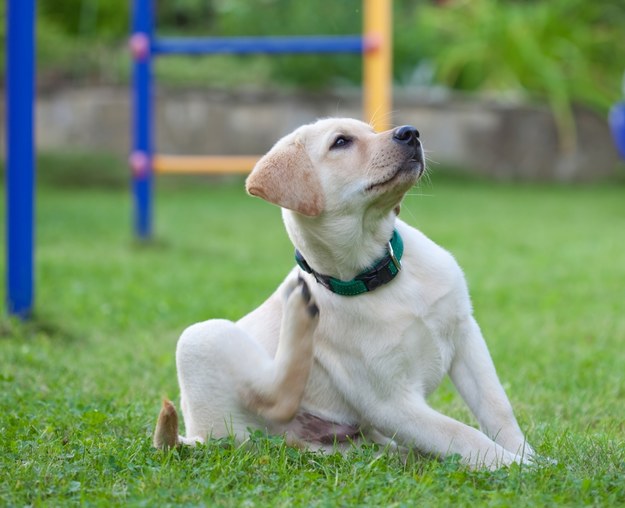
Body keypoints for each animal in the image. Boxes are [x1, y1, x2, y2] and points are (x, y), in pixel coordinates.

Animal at [154, 117, 532, 470]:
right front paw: (517, 467)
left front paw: (527, 455)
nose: (411, 132)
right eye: (341, 142)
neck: (377, 273)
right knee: (274, 400)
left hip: (354, 444)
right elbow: (462, 434)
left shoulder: (465, 334)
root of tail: (196, 434)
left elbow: (497, 407)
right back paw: (299, 312)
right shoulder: (391, 403)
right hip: (202, 337)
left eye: (372, 131)